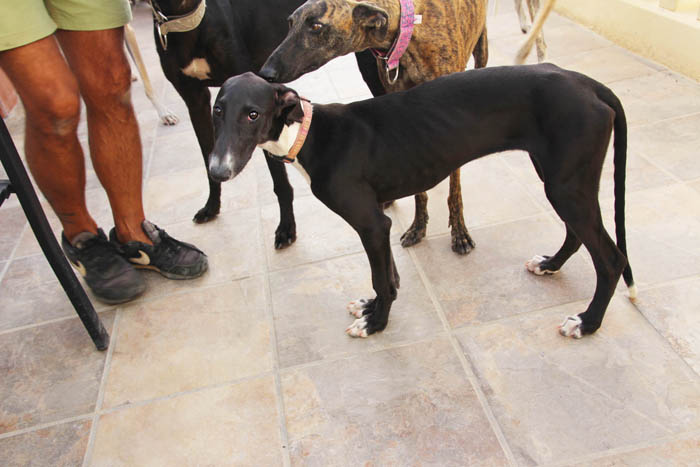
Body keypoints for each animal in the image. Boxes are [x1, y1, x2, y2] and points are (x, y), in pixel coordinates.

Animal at [207, 66, 636, 339]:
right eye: (217, 110)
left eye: (252, 114)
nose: (217, 172)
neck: (309, 133)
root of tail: (588, 84)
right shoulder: (379, 221)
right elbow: (389, 275)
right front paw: (373, 307)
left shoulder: (370, 222)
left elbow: (381, 277)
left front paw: (376, 323)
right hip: (562, 180)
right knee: (578, 235)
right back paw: (550, 265)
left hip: (566, 185)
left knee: (612, 259)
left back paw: (588, 322)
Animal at [260, 0, 489, 256]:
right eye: (290, 23)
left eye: (316, 26)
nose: (265, 73)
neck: (408, 32)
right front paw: (418, 226)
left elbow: (455, 190)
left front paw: (459, 232)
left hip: (482, 51)